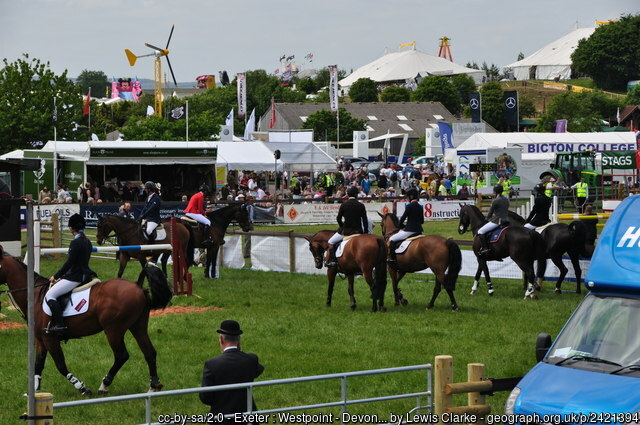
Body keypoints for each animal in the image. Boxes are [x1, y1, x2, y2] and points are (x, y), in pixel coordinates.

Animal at [0, 245, 172, 394]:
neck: (35, 295)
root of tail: (138, 287)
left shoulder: (50, 338)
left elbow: (60, 365)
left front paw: (81, 387)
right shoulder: (41, 339)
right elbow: (38, 365)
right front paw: (34, 392)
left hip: (114, 330)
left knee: (122, 355)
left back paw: (104, 385)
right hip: (137, 326)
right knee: (149, 352)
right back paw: (153, 386)